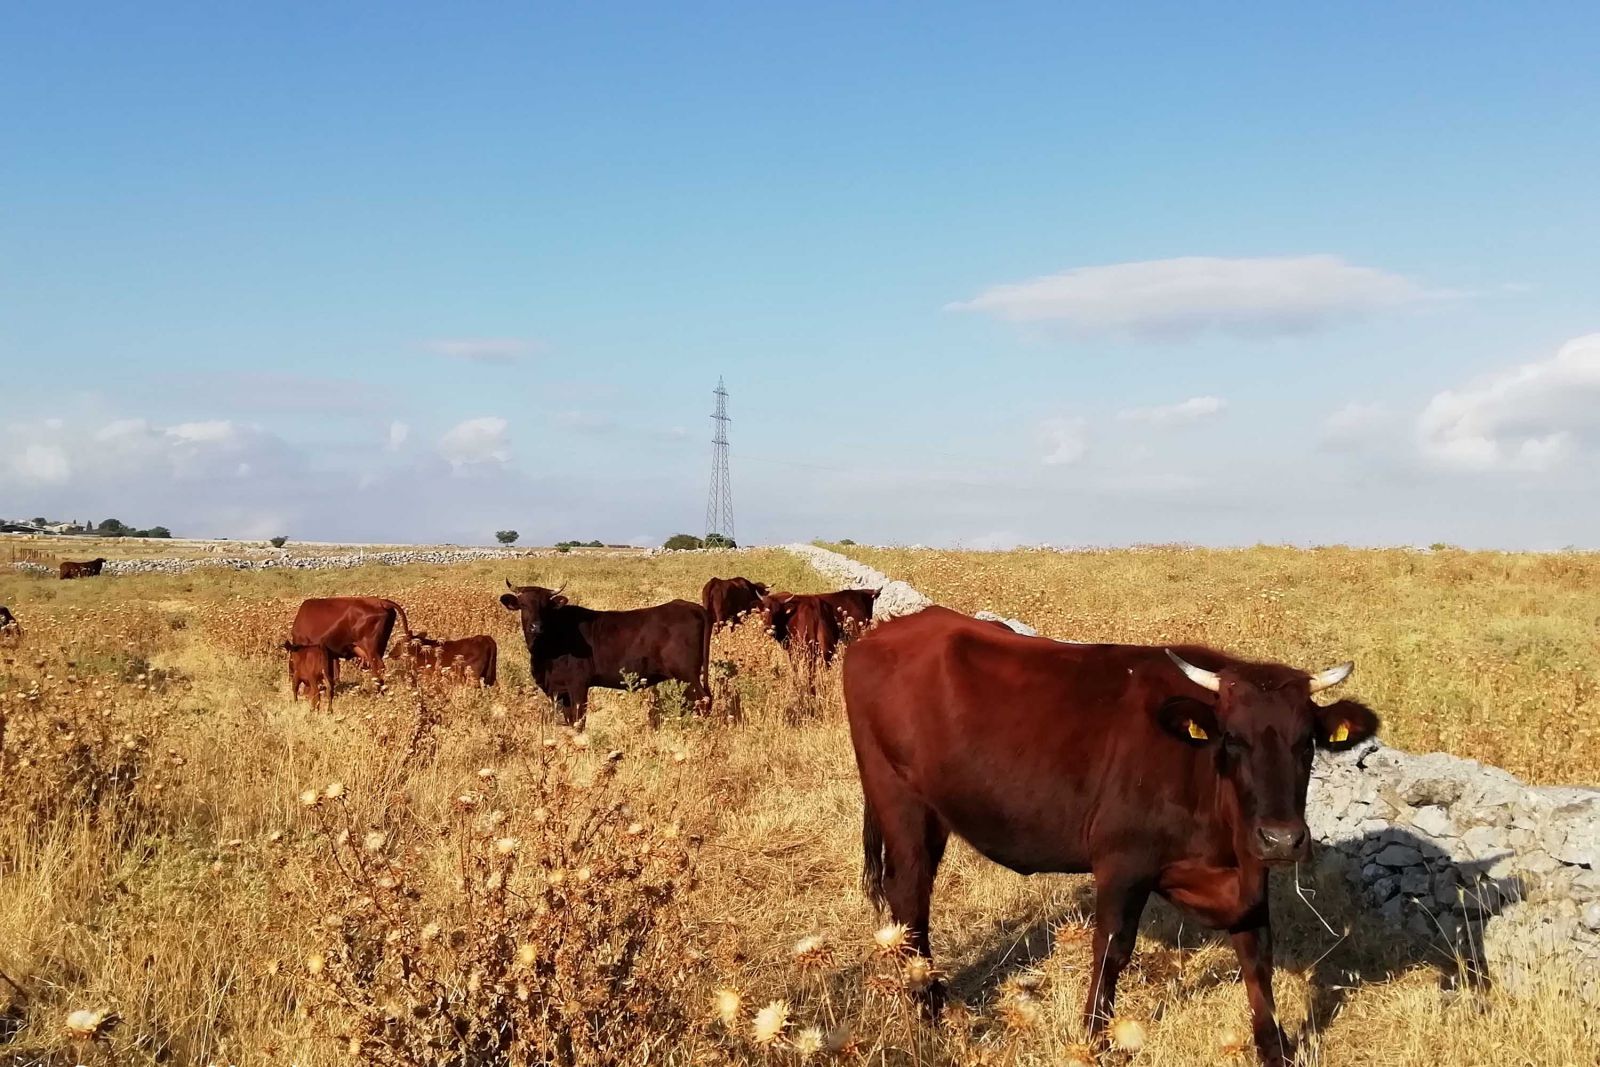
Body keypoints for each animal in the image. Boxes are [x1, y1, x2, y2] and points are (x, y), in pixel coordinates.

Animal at [496, 579, 704, 729]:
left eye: (546, 606)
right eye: (523, 604)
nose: (536, 627)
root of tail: (691, 606)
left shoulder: (578, 685)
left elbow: (579, 721)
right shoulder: (558, 690)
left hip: (688, 676)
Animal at [844, 607, 1382, 1067]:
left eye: (1306, 742)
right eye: (1232, 739)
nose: (1281, 838)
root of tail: (889, 631)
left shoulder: (1247, 872)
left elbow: (1257, 955)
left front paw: (1275, 1048)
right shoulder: (1123, 863)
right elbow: (1112, 951)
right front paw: (1094, 1040)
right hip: (900, 800)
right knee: (910, 896)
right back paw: (930, 1008)